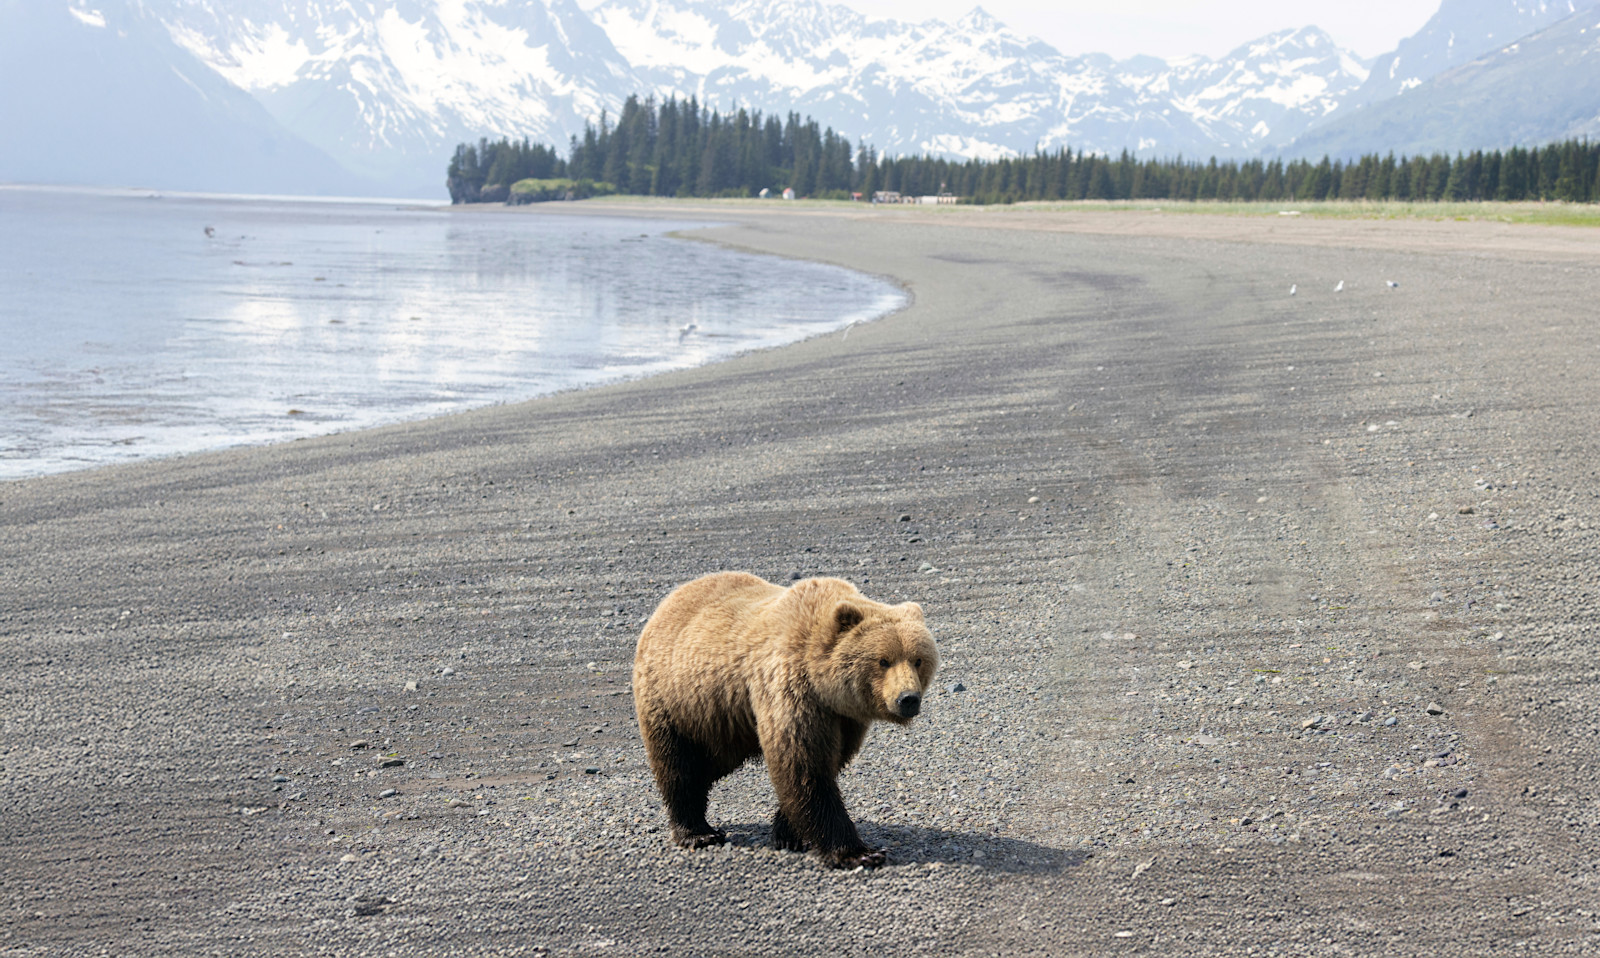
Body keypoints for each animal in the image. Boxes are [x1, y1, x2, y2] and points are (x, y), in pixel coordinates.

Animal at [632, 572, 938, 869]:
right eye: (883, 660)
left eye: (918, 659)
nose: (908, 699)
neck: (824, 684)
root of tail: (668, 601)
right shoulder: (793, 691)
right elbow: (804, 766)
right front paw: (859, 852)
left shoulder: (844, 718)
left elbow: (827, 762)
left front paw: (788, 834)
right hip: (677, 702)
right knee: (680, 765)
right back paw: (698, 832)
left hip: (723, 721)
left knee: (710, 762)